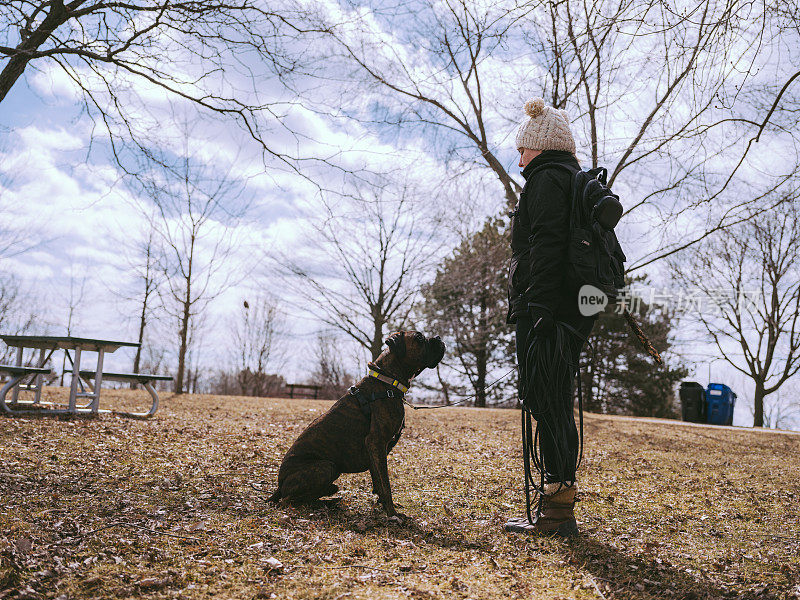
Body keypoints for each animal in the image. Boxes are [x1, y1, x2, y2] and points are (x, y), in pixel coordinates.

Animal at [268, 330, 444, 516]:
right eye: (419, 338)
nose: (439, 338)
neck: (387, 381)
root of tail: (279, 485)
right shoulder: (376, 442)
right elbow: (385, 483)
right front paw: (392, 513)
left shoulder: (374, 449)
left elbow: (378, 481)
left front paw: (383, 506)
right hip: (327, 466)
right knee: (288, 501)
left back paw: (329, 501)